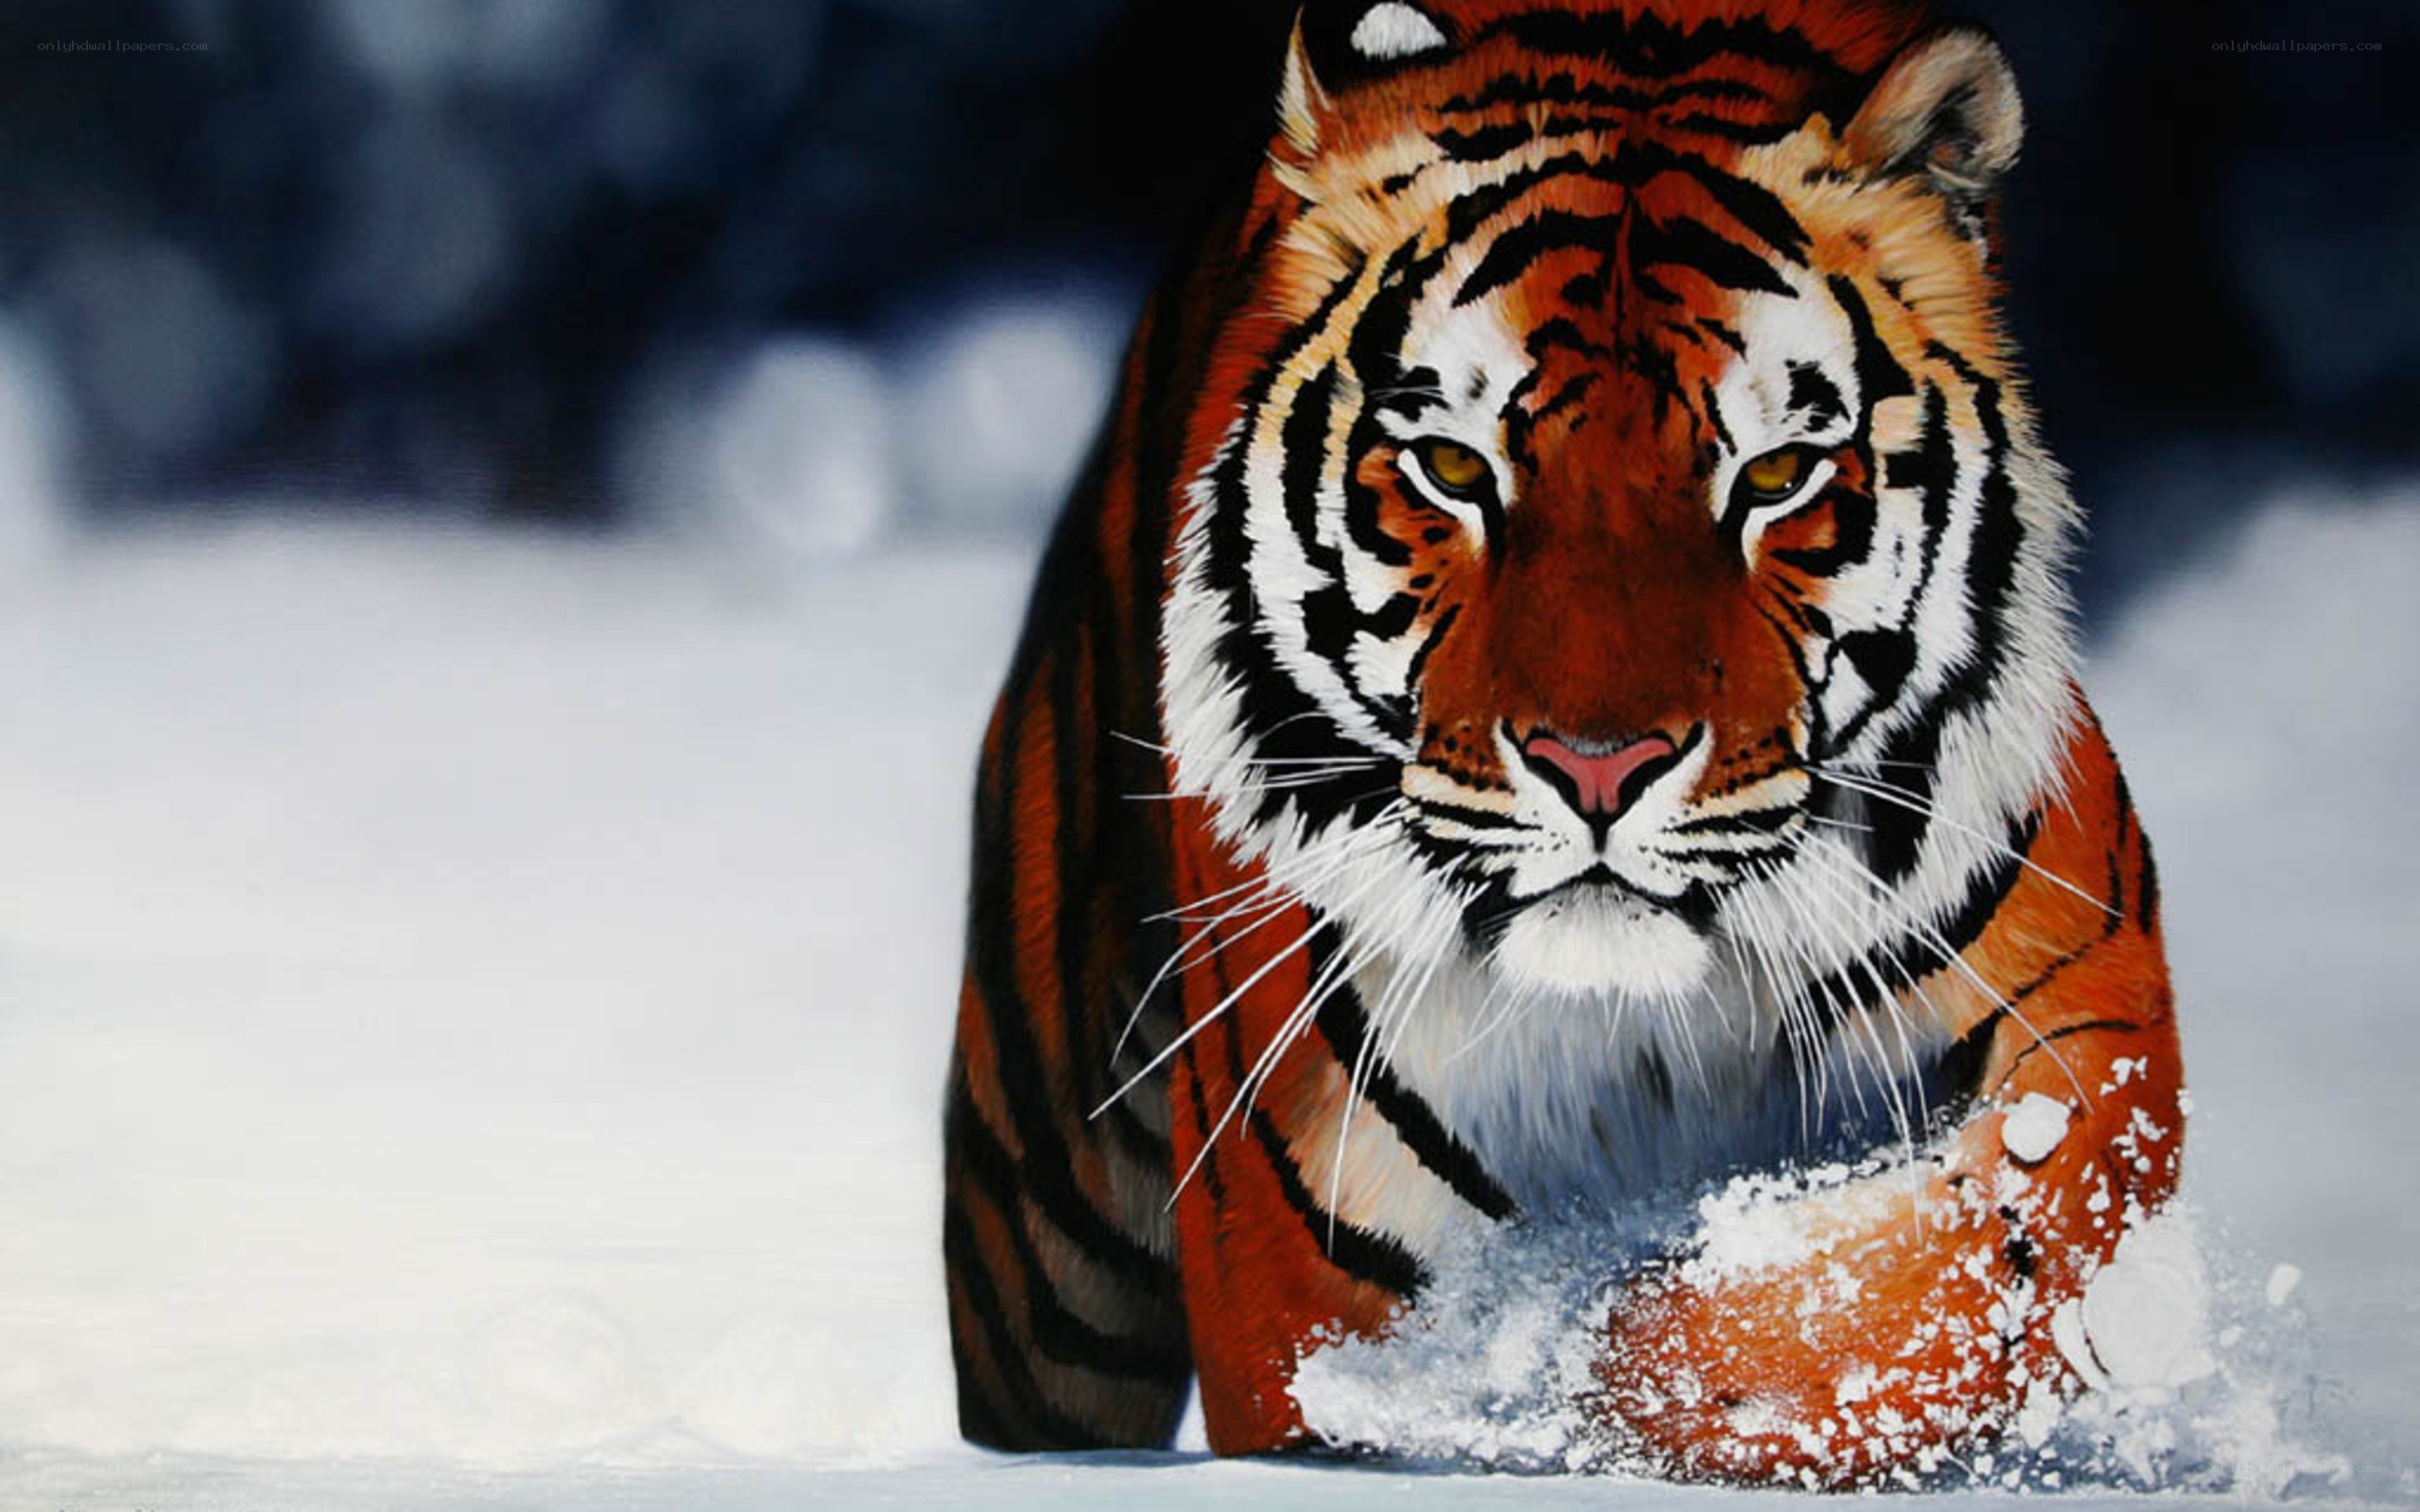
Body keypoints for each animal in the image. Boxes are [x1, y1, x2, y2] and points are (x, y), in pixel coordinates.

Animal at [941, 0, 2183, 1486]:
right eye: (1453, 469)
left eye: (1776, 477)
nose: (1598, 770)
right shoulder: (1302, 1259)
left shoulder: (2090, 1007)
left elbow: (1937, 1272)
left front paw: (1603, 1358)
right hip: (1046, 1233)